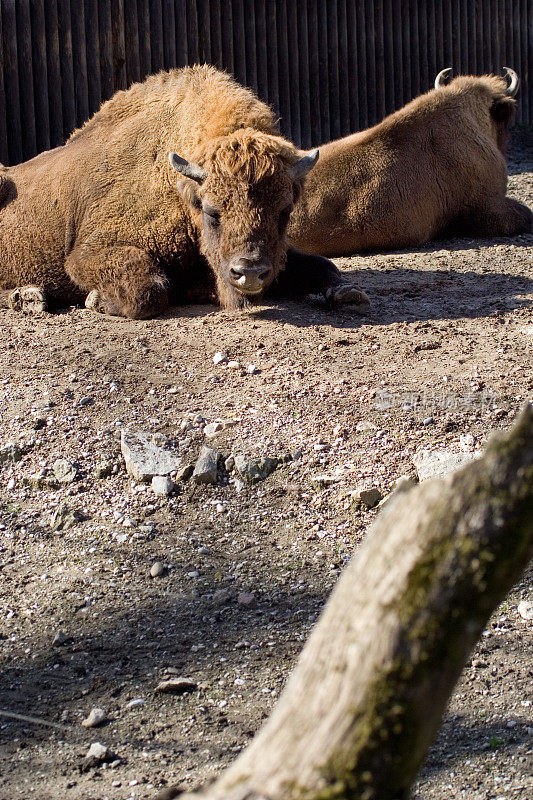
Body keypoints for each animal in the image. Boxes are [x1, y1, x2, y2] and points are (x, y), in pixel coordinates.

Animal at [0, 65, 366, 318]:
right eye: (212, 212)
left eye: (284, 212)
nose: (248, 273)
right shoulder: (88, 253)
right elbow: (149, 290)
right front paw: (96, 300)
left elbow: (323, 265)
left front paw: (347, 292)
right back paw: (27, 298)